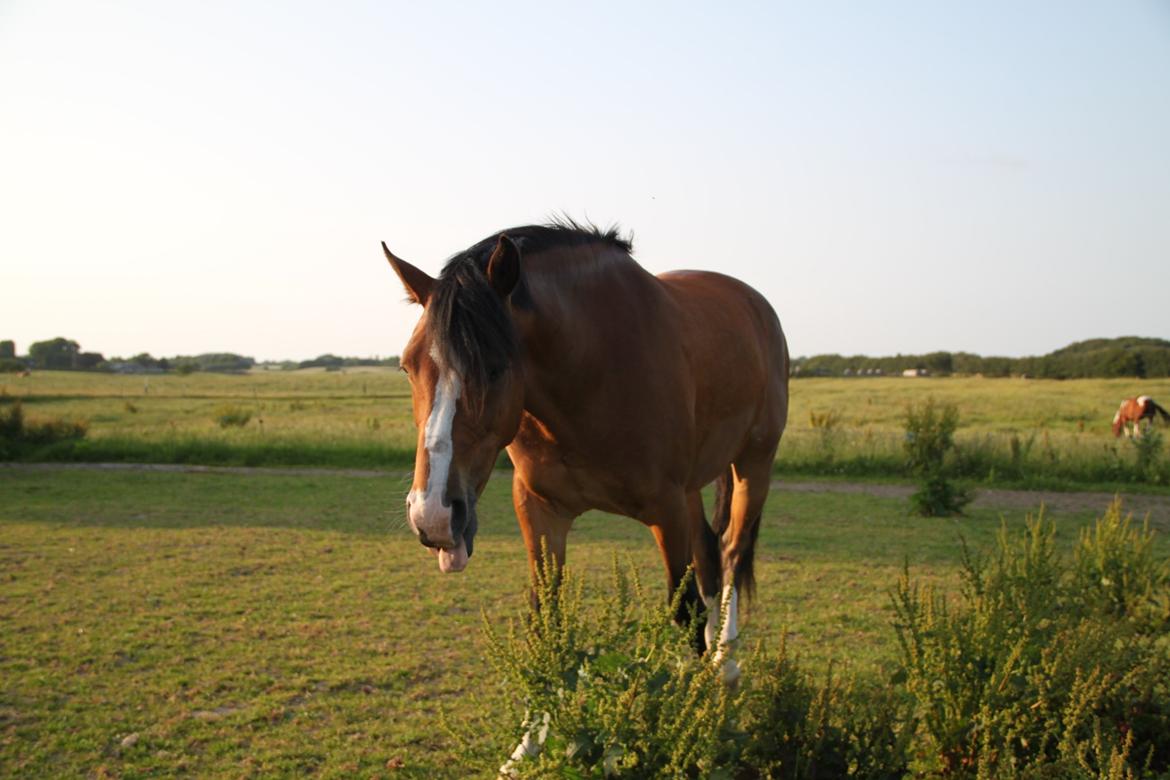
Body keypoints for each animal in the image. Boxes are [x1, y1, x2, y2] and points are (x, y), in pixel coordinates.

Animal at [381, 219, 786, 682]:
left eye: (496, 368)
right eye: (407, 367)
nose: (432, 515)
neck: (592, 374)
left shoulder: (666, 510)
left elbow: (684, 610)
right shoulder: (541, 510)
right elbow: (545, 616)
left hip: (753, 466)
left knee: (732, 550)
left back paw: (726, 659)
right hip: (692, 488)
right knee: (708, 554)